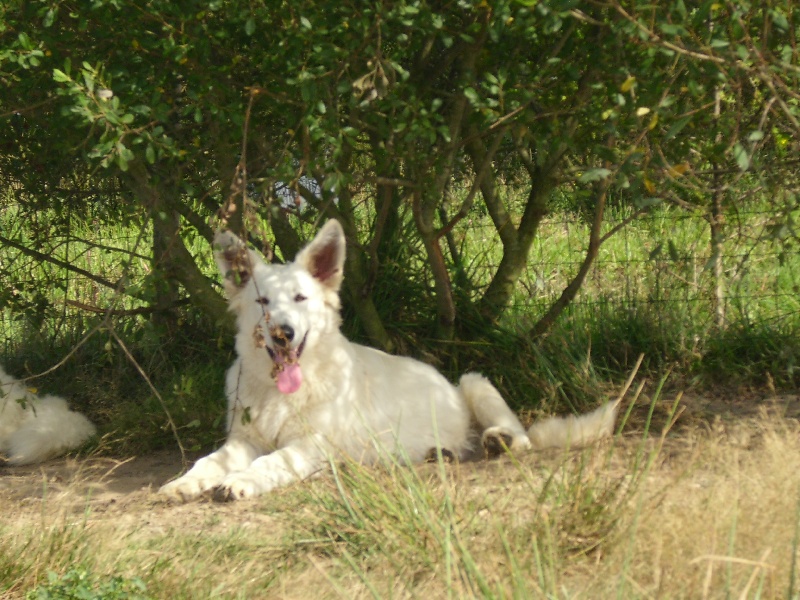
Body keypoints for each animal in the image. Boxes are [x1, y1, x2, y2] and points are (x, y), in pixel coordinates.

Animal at [159, 220, 620, 502]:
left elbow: (271, 460)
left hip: (473, 382)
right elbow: (209, 460)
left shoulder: (312, 445)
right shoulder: (242, 439)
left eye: (300, 298)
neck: (281, 392)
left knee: (521, 437)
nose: (282, 333)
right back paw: (444, 453)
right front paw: (186, 482)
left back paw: (499, 441)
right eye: (262, 302)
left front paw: (241, 481)